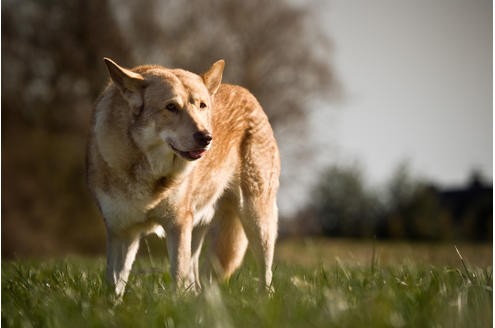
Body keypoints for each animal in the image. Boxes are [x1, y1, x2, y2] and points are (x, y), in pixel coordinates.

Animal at [85, 57, 280, 296]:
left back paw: (264, 299)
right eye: (171, 107)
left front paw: (174, 304)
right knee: (195, 279)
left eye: (202, 105)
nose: (206, 137)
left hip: (256, 219)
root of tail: (246, 93)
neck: (150, 172)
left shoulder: (177, 225)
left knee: (266, 274)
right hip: (199, 226)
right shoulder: (122, 231)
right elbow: (114, 285)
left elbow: (177, 278)